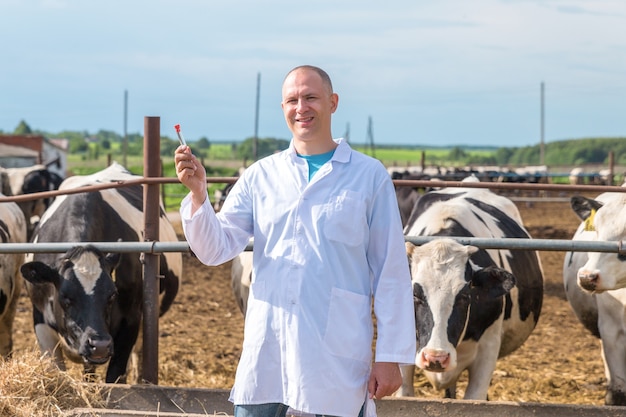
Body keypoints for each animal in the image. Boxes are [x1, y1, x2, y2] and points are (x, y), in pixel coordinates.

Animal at [19, 161, 180, 382]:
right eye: (65, 297)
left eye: (112, 295)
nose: (100, 346)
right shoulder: (40, 319)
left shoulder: (130, 320)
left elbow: (115, 376)